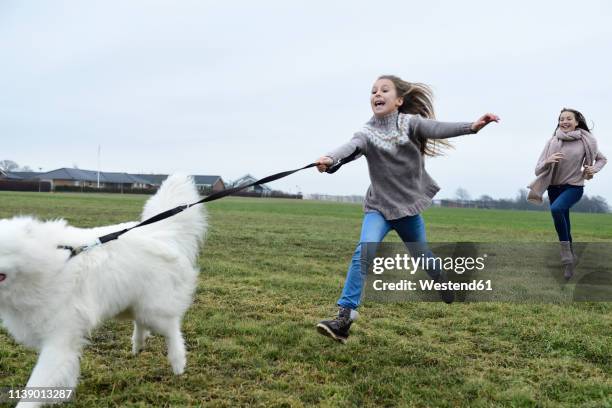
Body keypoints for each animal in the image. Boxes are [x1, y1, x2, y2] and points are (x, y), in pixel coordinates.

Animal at [0, 175, 207, 404]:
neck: (50, 263)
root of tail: (159, 232)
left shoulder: (59, 338)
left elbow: (36, 386)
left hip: (153, 310)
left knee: (172, 329)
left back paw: (178, 363)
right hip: (129, 303)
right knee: (141, 323)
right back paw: (138, 345)